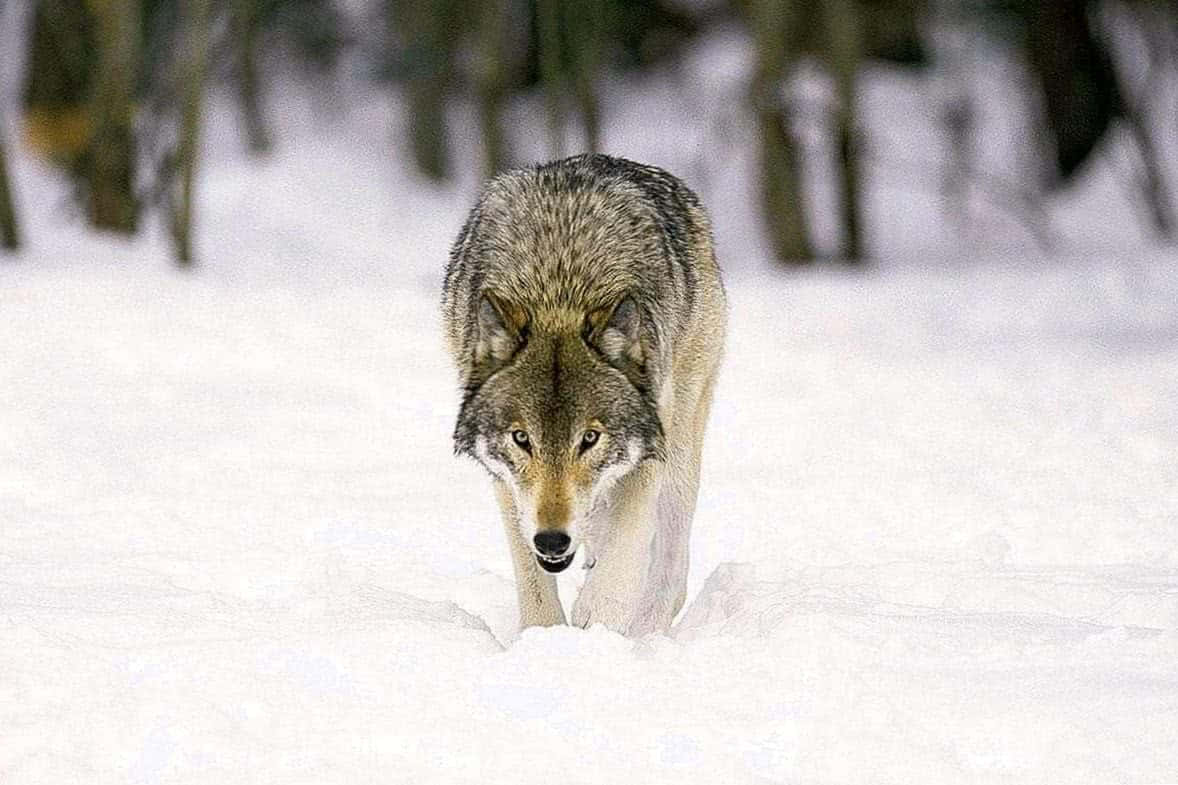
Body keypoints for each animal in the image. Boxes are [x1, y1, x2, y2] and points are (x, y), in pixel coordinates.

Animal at [440, 153, 720, 636]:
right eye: (521, 439)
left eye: (590, 438)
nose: (553, 539)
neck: (559, 288)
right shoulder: (508, 484)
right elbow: (533, 582)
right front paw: (547, 639)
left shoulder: (652, 446)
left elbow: (622, 559)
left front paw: (597, 632)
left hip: (683, 444)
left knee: (670, 563)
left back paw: (649, 628)